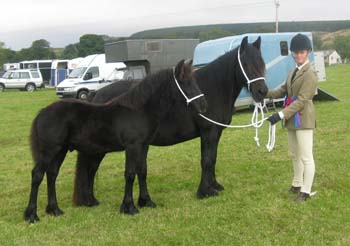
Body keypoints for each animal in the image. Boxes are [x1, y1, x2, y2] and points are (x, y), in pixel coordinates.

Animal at [23, 59, 205, 223]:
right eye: (186, 83)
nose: (202, 105)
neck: (139, 111)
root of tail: (42, 113)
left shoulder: (143, 146)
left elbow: (142, 171)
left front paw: (146, 201)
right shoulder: (132, 147)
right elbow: (130, 174)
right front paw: (129, 207)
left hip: (60, 151)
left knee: (52, 174)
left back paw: (54, 210)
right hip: (49, 151)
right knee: (37, 175)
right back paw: (32, 215)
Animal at [74, 36, 268, 208]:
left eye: (262, 63)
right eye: (247, 65)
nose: (262, 91)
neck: (212, 88)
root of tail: (95, 94)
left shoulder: (215, 133)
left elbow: (212, 158)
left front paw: (214, 186)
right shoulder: (209, 132)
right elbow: (206, 160)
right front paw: (204, 191)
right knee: (90, 169)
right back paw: (90, 201)